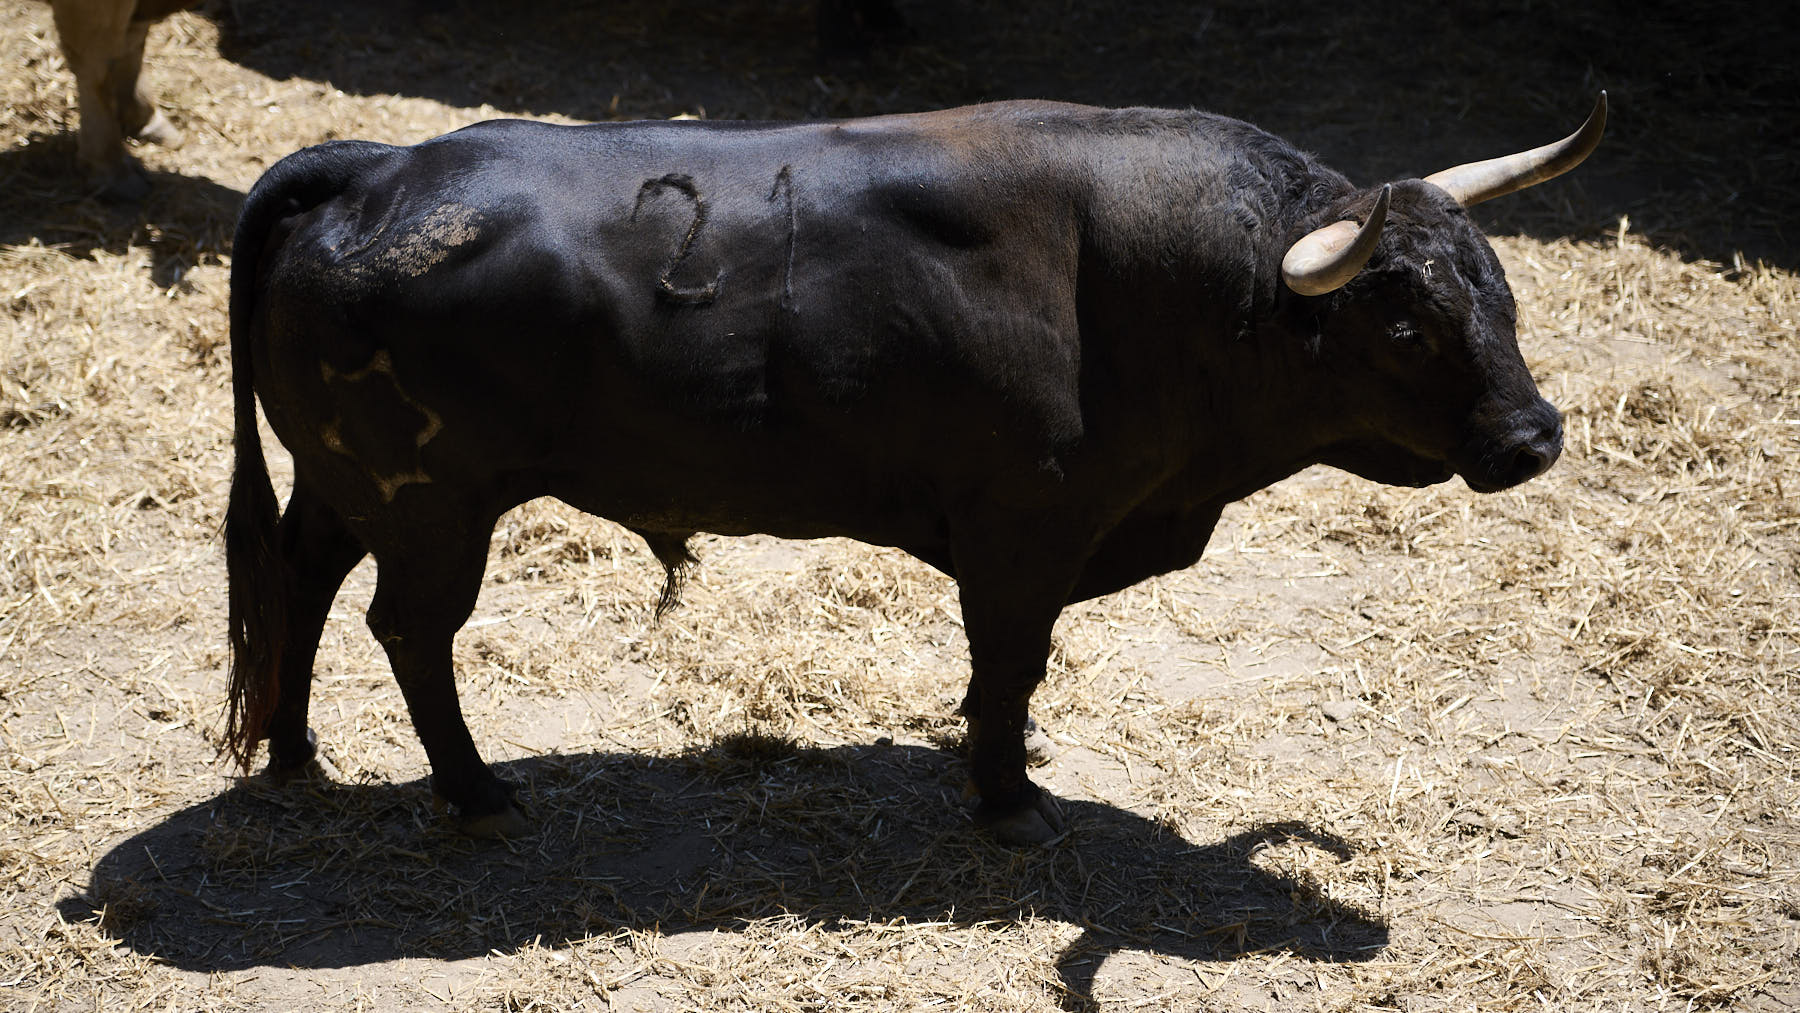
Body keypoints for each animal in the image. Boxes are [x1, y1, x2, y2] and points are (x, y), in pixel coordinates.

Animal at [225, 95, 1605, 845]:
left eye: (1500, 290)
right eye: (1405, 323)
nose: (1533, 436)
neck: (1178, 284)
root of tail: (375, 164)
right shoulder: (1023, 536)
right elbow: (1011, 663)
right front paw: (1007, 794)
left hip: (349, 487)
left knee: (298, 581)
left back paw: (295, 755)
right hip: (432, 507)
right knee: (410, 628)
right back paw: (473, 792)